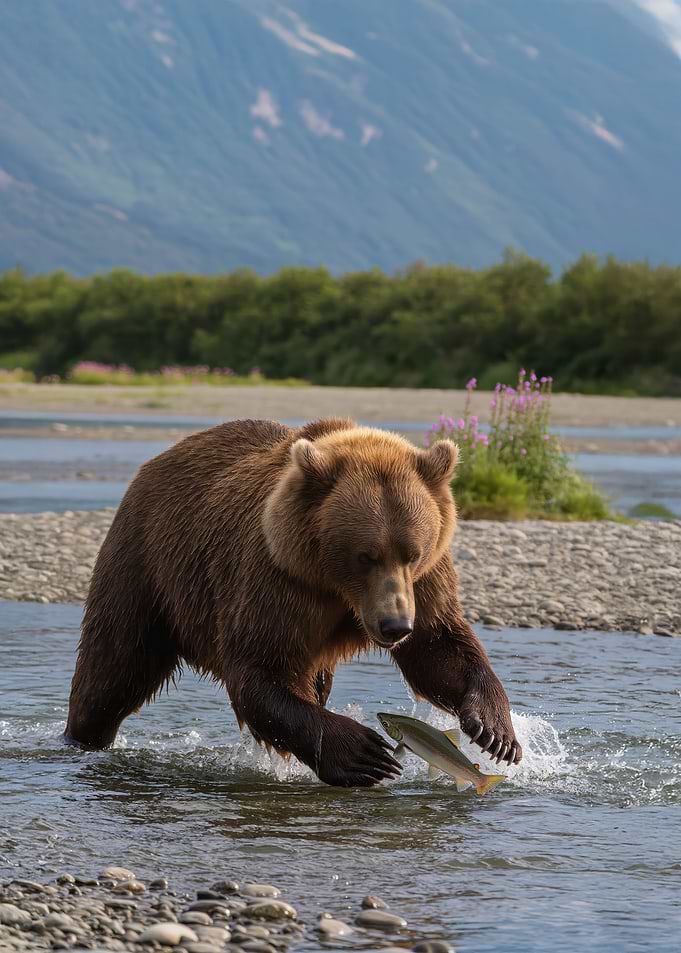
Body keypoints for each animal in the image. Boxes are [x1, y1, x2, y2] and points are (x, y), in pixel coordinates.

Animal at [65, 417, 521, 786]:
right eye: (365, 555)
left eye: (413, 552)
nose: (394, 626)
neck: (336, 586)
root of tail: (159, 459)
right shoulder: (280, 578)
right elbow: (262, 668)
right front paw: (362, 753)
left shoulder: (424, 583)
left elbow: (438, 646)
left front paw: (495, 731)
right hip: (146, 563)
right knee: (114, 665)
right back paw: (80, 737)